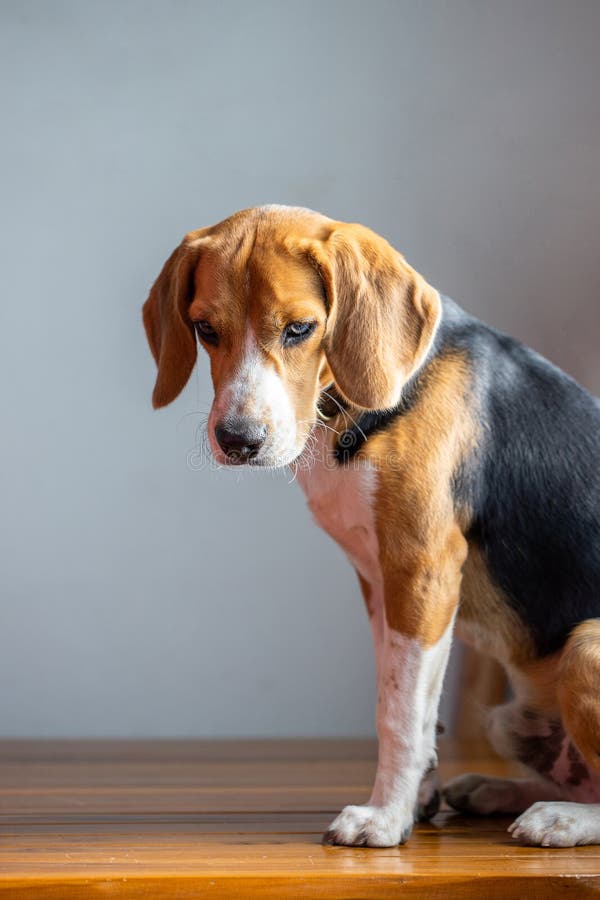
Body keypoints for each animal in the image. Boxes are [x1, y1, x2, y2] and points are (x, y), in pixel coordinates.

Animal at [144, 207, 600, 848]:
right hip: (510, 717)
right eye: (205, 328)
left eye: (299, 329)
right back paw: (497, 791)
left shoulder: (421, 570)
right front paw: (416, 801)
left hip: (585, 648)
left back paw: (559, 819)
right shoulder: (381, 584)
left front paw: (385, 818)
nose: (238, 440)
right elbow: (404, 700)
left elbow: (401, 714)